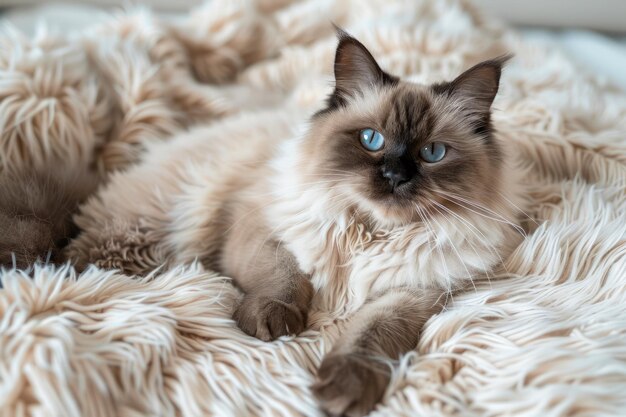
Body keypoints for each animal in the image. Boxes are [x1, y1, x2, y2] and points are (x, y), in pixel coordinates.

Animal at [66, 30, 524, 414]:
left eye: (432, 153)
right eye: (371, 140)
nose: (395, 176)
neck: (371, 233)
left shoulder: (415, 292)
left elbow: (372, 334)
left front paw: (344, 389)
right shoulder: (265, 231)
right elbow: (284, 278)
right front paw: (273, 322)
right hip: (141, 238)